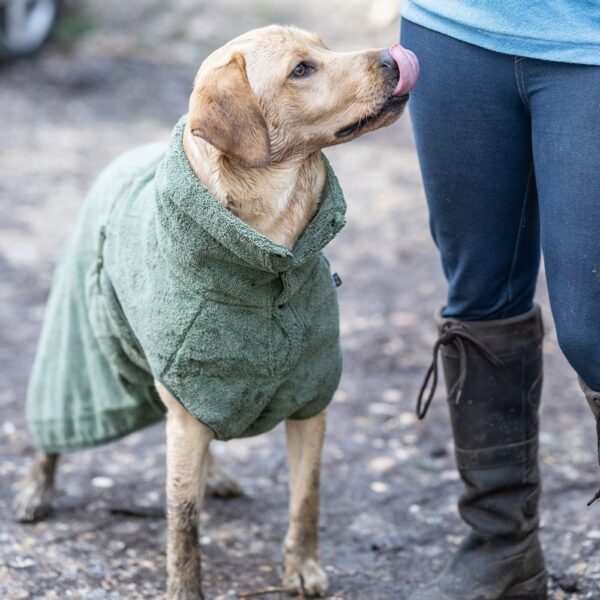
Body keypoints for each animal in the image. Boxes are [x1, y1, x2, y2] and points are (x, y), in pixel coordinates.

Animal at [14, 25, 418, 596]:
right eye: (301, 69)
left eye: (325, 47)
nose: (393, 57)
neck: (273, 257)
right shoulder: (187, 412)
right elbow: (183, 521)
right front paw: (185, 588)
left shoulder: (309, 399)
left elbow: (307, 499)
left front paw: (302, 566)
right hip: (79, 342)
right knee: (54, 423)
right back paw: (36, 489)